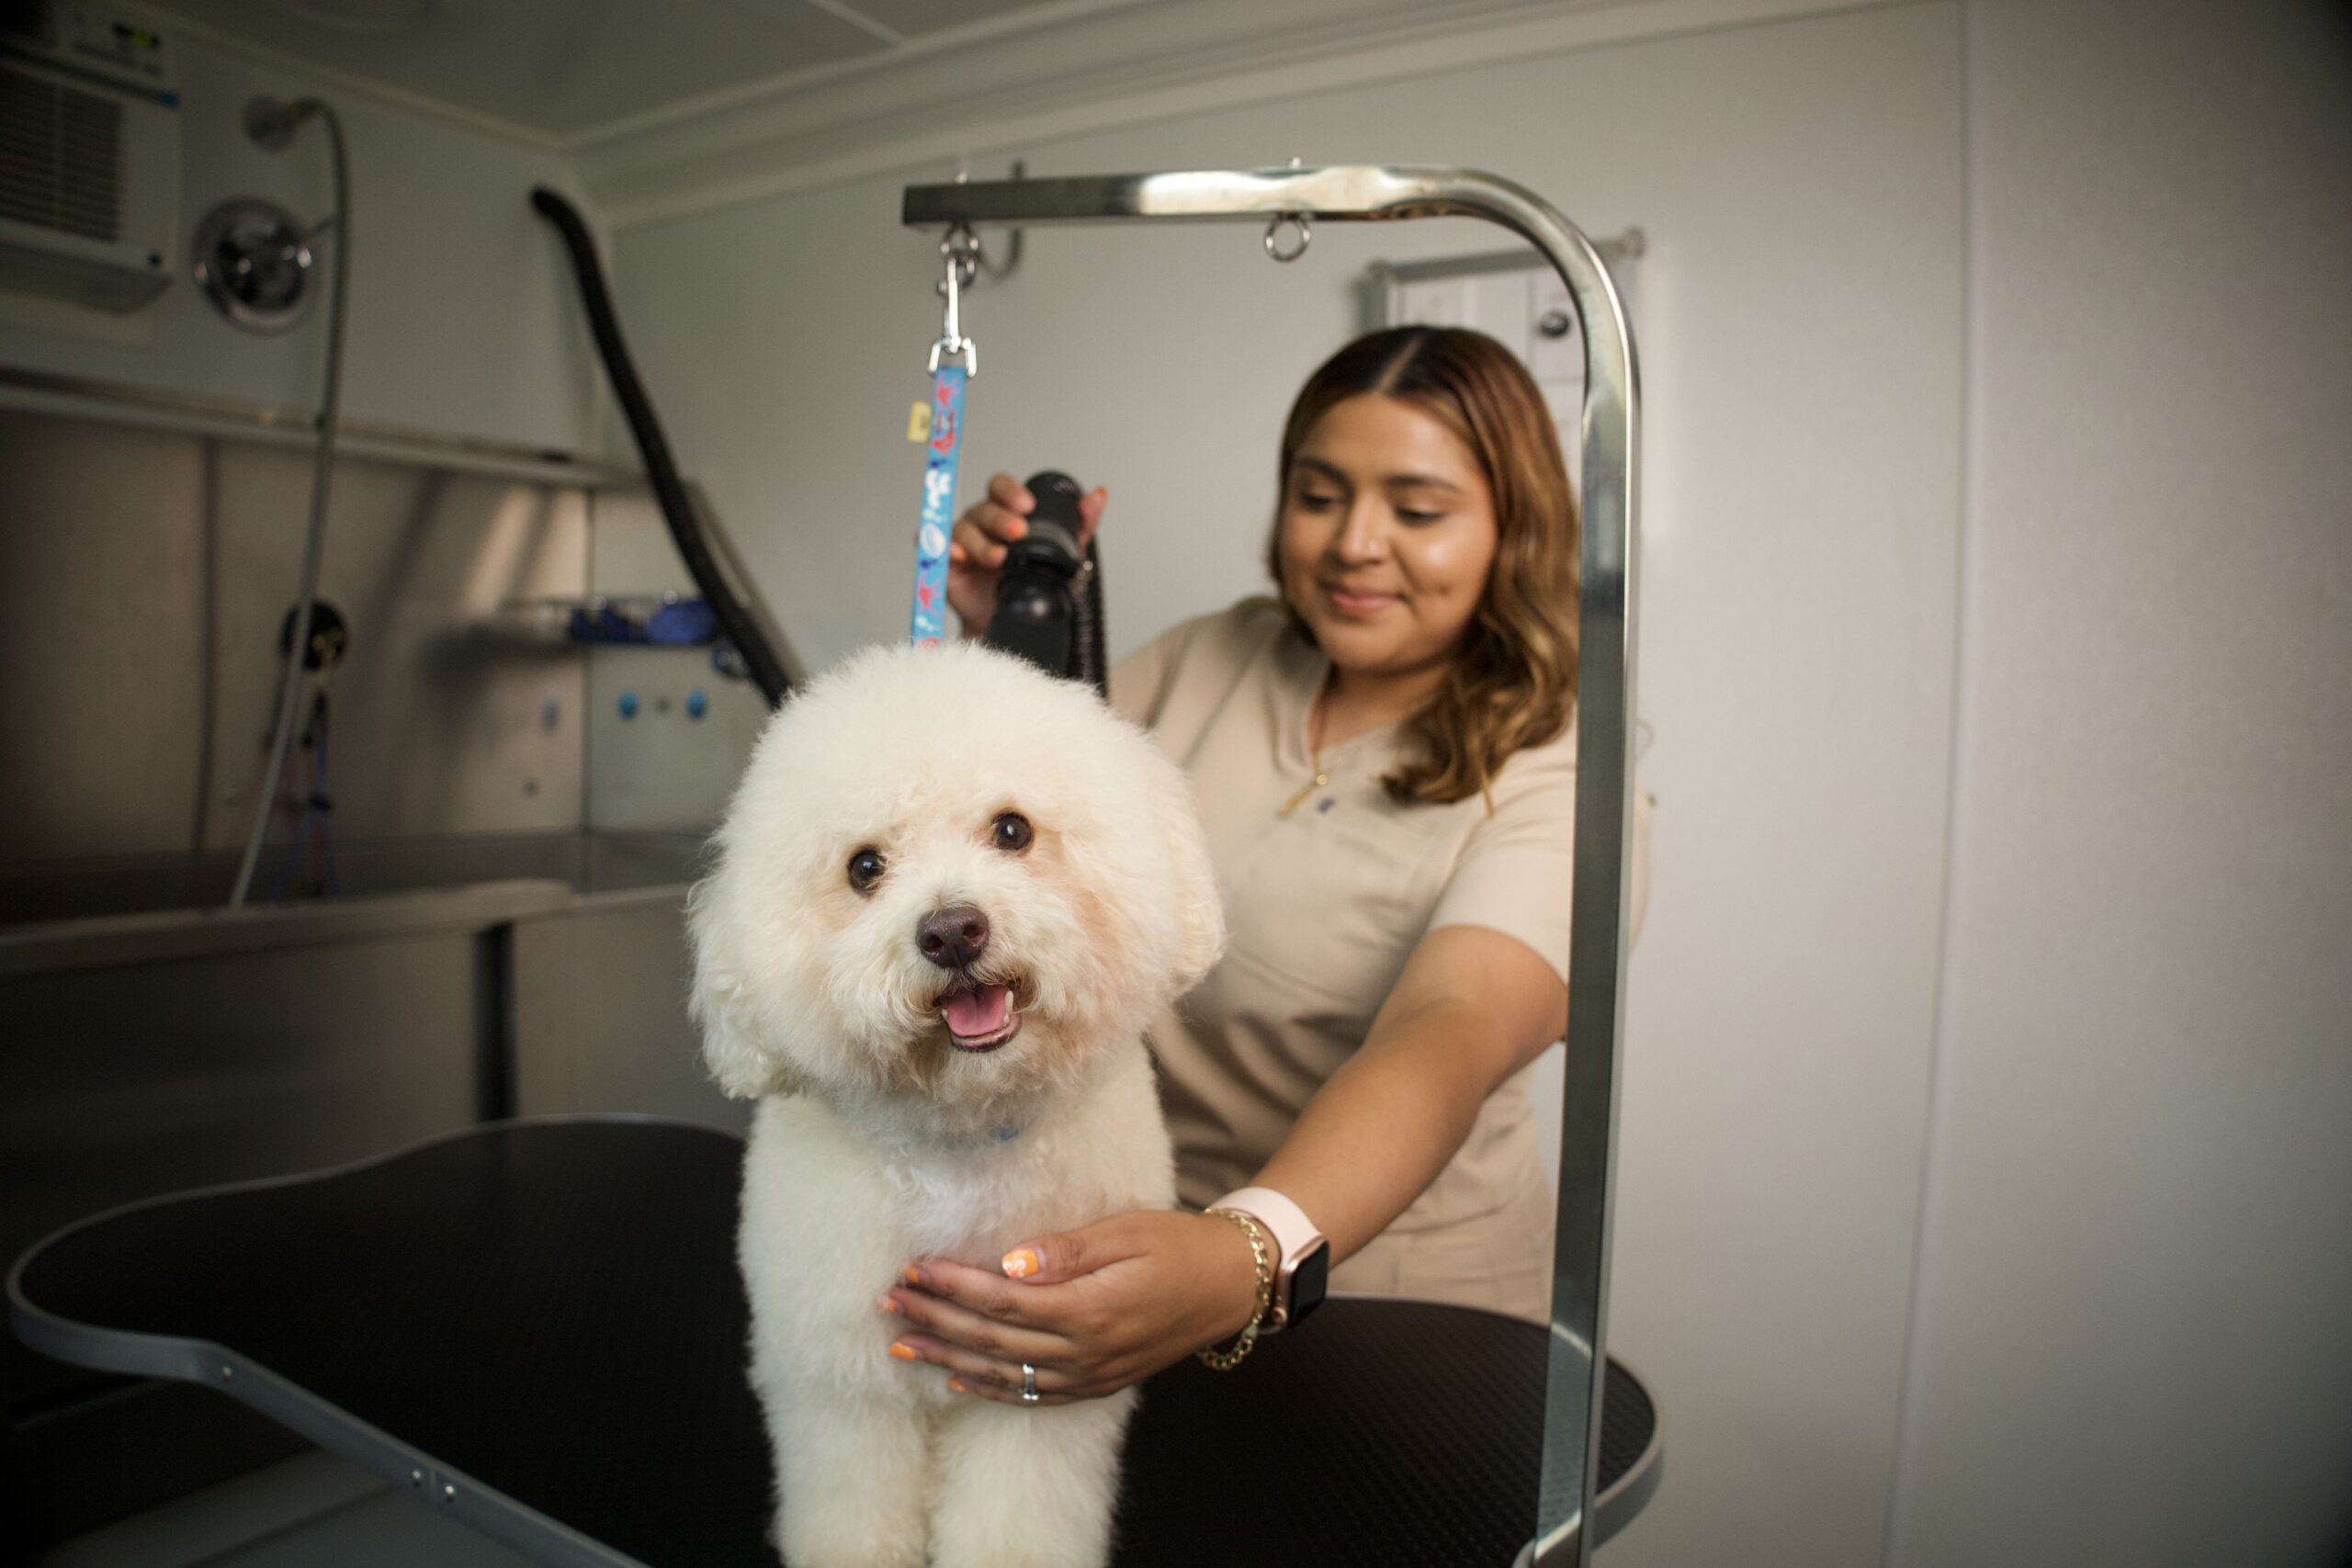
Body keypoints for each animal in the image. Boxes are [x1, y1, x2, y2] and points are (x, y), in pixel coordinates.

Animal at [686, 639, 1223, 1568]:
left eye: (1012, 829)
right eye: (865, 867)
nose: (950, 930)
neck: (959, 1141)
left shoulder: (1039, 1380)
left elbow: (1020, 1511)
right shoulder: (842, 1376)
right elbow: (854, 1500)